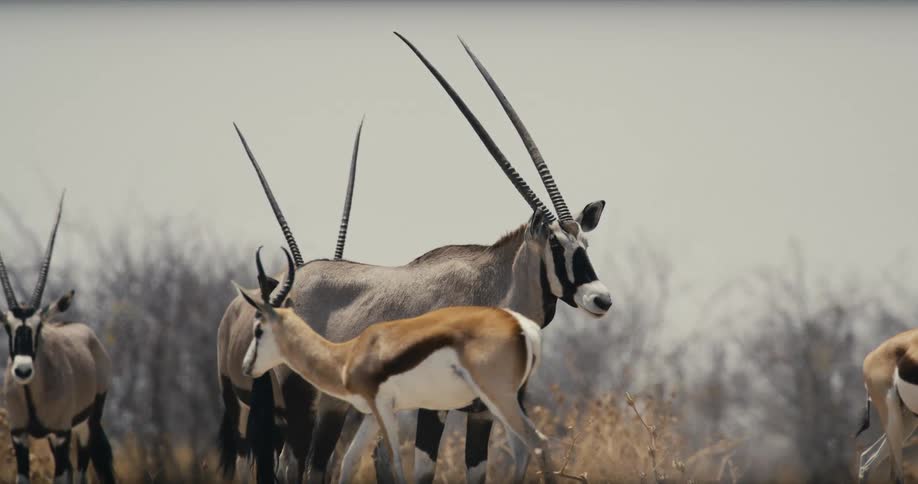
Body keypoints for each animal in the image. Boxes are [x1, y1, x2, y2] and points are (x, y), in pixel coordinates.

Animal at [1, 194, 115, 484]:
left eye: (39, 325)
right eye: (7, 326)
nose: (23, 370)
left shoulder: (62, 433)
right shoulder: (19, 437)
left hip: (86, 425)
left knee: (81, 472)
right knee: (75, 471)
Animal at [236, 247, 556, 484]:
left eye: (259, 329)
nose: (247, 367)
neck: (348, 353)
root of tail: (523, 328)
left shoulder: (381, 410)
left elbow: (391, 465)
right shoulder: (370, 415)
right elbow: (353, 461)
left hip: (497, 402)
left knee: (537, 443)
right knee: (523, 449)